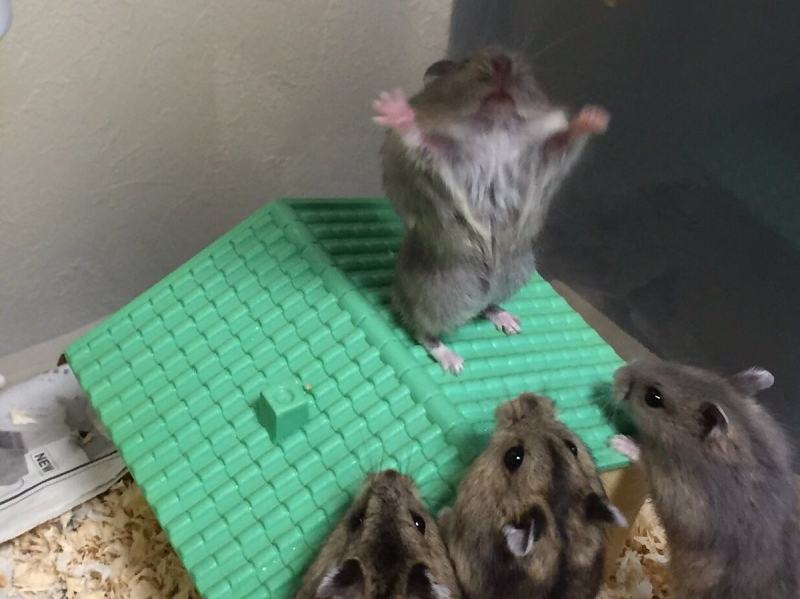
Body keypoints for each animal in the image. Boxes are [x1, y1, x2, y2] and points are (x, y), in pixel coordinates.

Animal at [372, 48, 608, 376]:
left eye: (524, 68)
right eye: (467, 62)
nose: (501, 61)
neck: (495, 123)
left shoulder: (542, 156)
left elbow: (562, 141)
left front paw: (595, 115)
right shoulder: (440, 158)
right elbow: (420, 141)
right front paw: (391, 106)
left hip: (515, 275)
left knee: (487, 306)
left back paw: (510, 322)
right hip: (434, 296)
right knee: (420, 329)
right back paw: (454, 362)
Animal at [608, 360, 796, 599]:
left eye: (653, 397)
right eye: (688, 367)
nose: (617, 374)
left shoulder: (676, 487)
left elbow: (645, 456)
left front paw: (618, 441)